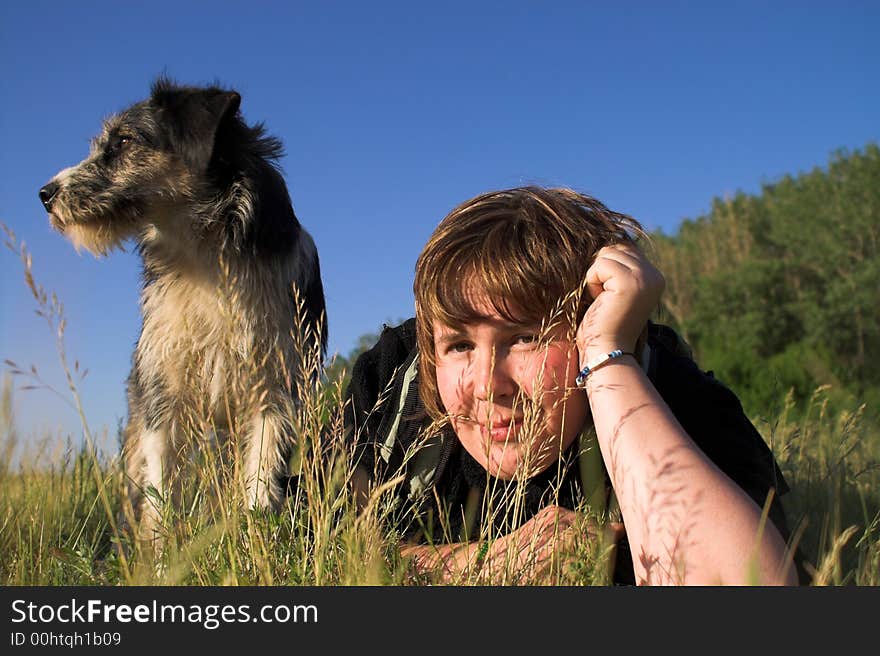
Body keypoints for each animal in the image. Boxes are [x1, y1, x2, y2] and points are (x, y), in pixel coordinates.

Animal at [37, 78, 326, 544]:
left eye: (124, 140)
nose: (45, 194)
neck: (206, 255)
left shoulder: (277, 389)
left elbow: (261, 485)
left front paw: (256, 542)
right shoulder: (164, 394)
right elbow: (161, 496)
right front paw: (160, 553)